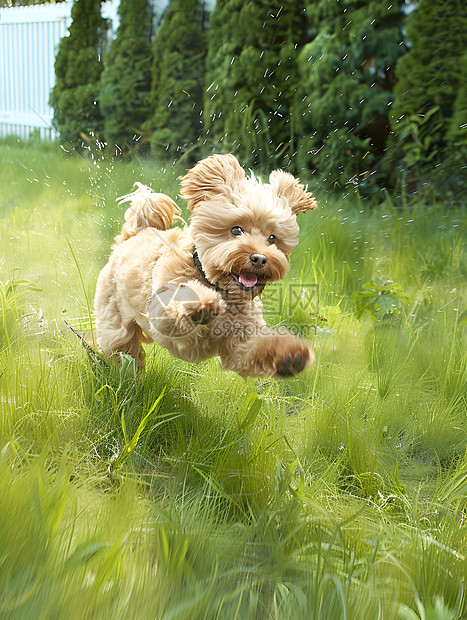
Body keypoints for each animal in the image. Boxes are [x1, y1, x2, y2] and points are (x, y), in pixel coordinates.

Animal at [93, 155, 316, 378]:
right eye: (236, 230)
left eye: (272, 238)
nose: (260, 258)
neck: (218, 285)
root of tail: (134, 235)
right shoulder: (161, 308)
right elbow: (183, 295)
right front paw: (203, 304)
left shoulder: (240, 343)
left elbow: (256, 348)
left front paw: (290, 356)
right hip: (115, 321)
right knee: (123, 347)